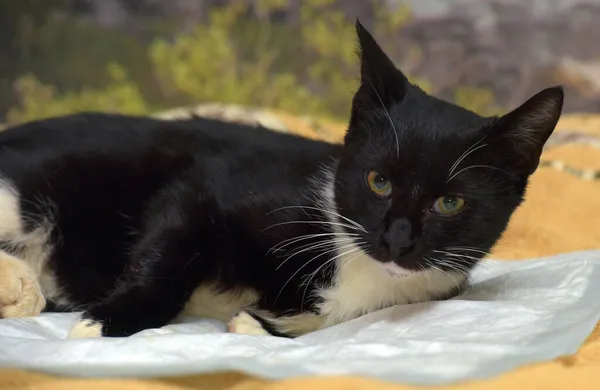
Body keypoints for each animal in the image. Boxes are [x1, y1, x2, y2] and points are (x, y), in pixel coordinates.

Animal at [0, 21, 564, 338]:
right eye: (378, 182)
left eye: (450, 204)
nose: (398, 239)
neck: (357, 267)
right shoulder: (211, 184)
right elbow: (171, 247)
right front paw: (105, 321)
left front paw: (256, 322)